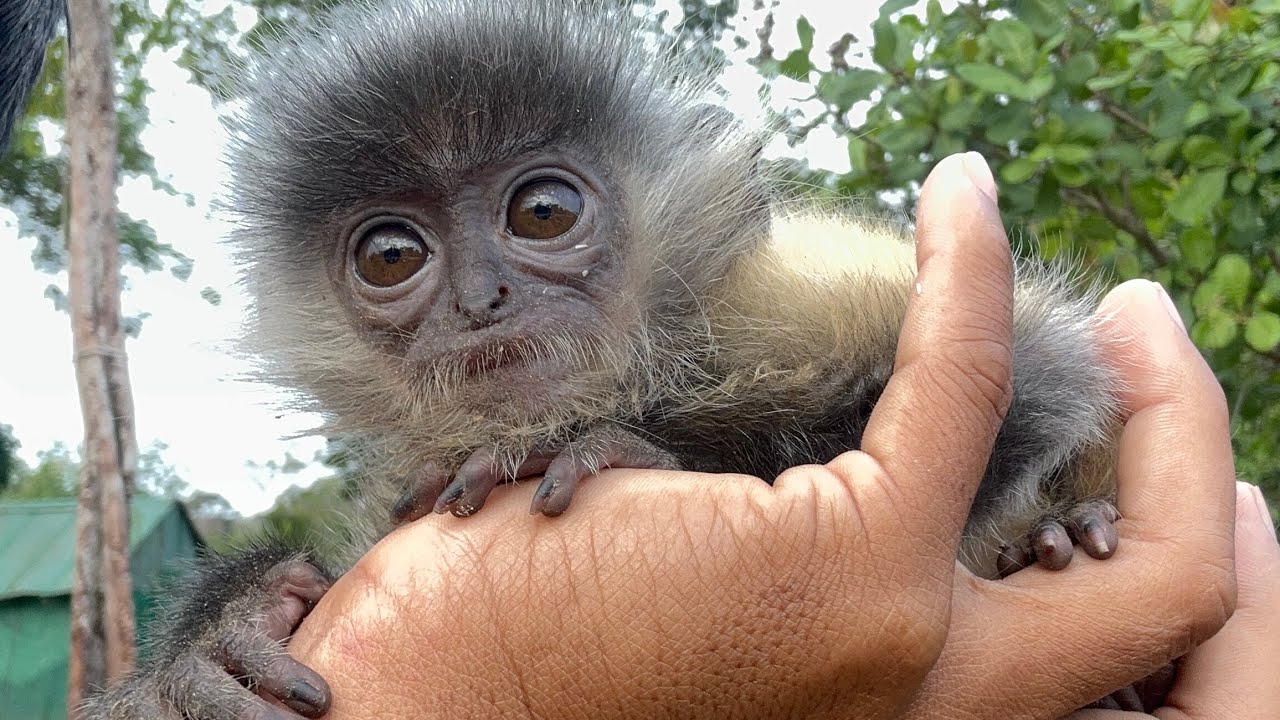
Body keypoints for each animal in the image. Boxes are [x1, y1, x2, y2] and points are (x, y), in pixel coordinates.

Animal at [78, 1, 1134, 718]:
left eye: (542, 212)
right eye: (392, 255)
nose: (481, 302)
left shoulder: (788, 297)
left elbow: (1047, 371)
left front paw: (618, 447)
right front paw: (229, 626)